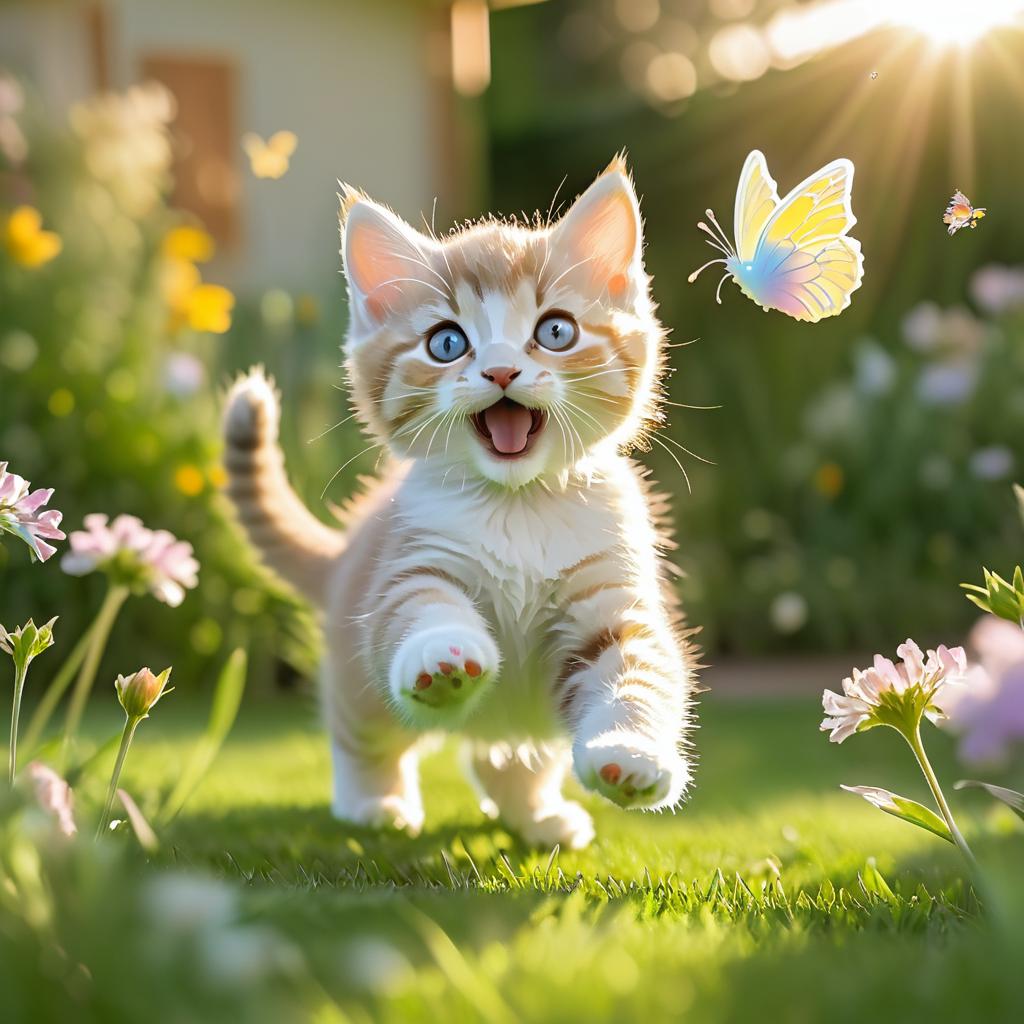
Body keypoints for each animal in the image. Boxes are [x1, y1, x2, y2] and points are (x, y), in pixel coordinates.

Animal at [226, 157, 696, 847]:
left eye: (555, 331)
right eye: (447, 343)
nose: (501, 370)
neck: (519, 507)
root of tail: (344, 554)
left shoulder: (612, 592)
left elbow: (637, 668)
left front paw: (631, 753)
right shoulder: (407, 566)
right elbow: (415, 610)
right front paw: (439, 653)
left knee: (508, 758)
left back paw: (538, 817)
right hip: (358, 672)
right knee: (361, 733)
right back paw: (374, 802)